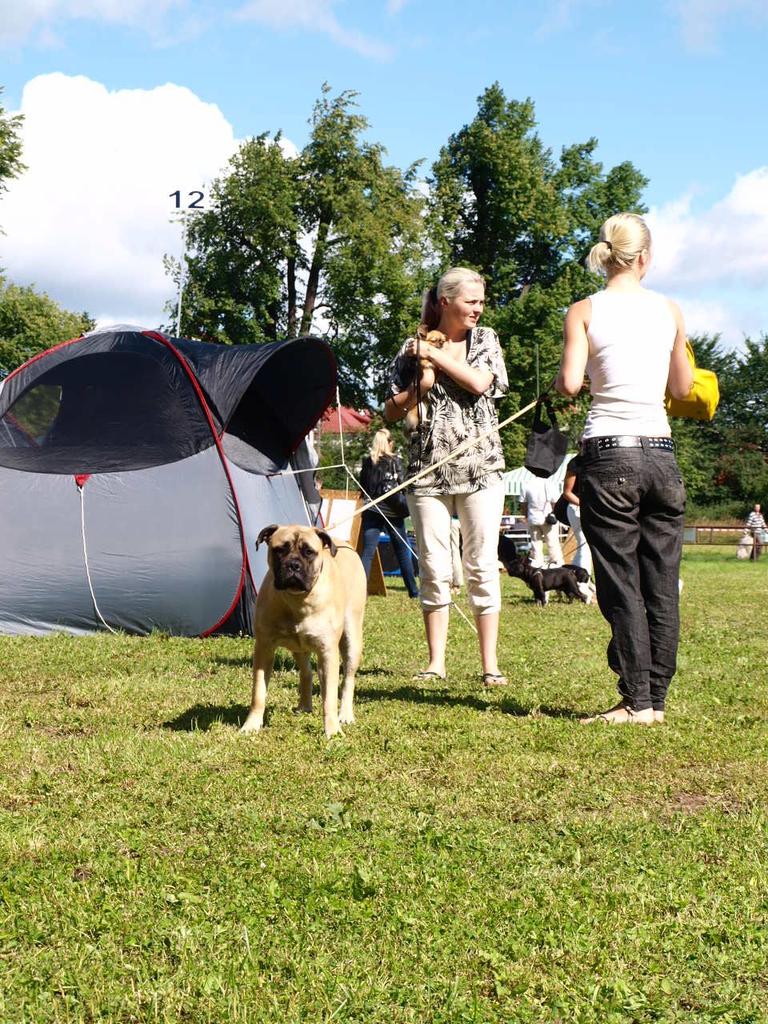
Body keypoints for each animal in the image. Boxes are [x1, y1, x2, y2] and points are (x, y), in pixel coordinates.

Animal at [240, 525, 367, 738]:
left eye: (309, 552)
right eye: (279, 550)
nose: (293, 565)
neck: (297, 600)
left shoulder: (327, 652)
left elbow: (329, 698)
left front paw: (332, 730)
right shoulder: (264, 649)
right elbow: (258, 693)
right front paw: (251, 725)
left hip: (352, 637)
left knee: (348, 679)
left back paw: (345, 714)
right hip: (298, 647)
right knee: (306, 672)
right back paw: (304, 706)